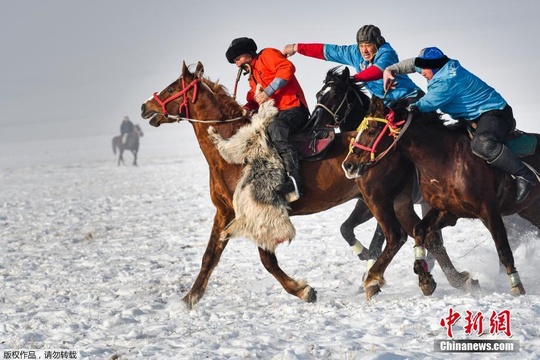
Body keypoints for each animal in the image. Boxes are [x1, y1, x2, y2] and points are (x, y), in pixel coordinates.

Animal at [344, 96, 540, 298]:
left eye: (371, 130)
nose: (348, 165)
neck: (447, 160)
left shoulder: (488, 210)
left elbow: (503, 248)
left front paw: (517, 285)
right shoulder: (446, 211)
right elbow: (420, 231)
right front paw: (425, 278)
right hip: (530, 209)